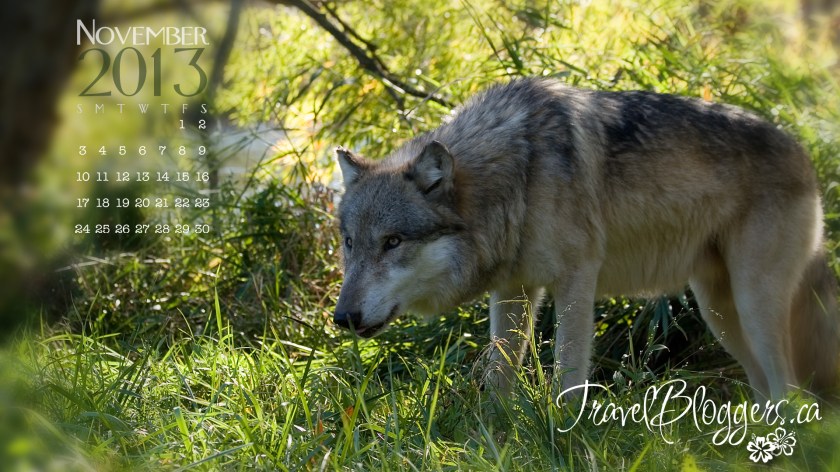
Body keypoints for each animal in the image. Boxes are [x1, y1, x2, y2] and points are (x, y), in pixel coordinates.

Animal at [332, 78, 839, 400]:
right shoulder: (512, 290)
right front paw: (492, 433)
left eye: (393, 242)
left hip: (753, 304)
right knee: (768, 390)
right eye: (351, 243)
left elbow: (568, 369)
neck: (520, 174)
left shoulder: (577, 278)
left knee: (791, 389)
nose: (342, 318)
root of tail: (803, 154)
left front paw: (564, 430)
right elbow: (499, 373)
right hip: (719, 312)